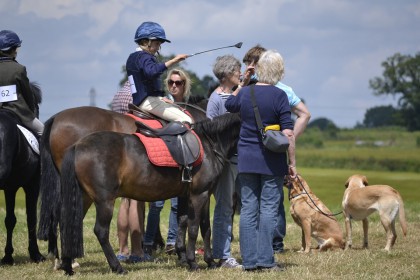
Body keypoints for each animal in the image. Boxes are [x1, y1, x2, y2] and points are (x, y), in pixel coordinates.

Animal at [57, 112, 240, 276]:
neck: (209, 145)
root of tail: (78, 146)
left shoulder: (197, 195)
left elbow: (201, 227)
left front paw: (208, 261)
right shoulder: (199, 194)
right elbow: (194, 228)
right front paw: (193, 262)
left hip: (84, 198)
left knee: (69, 225)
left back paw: (67, 266)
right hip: (105, 201)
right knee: (101, 231)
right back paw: (117, 267)